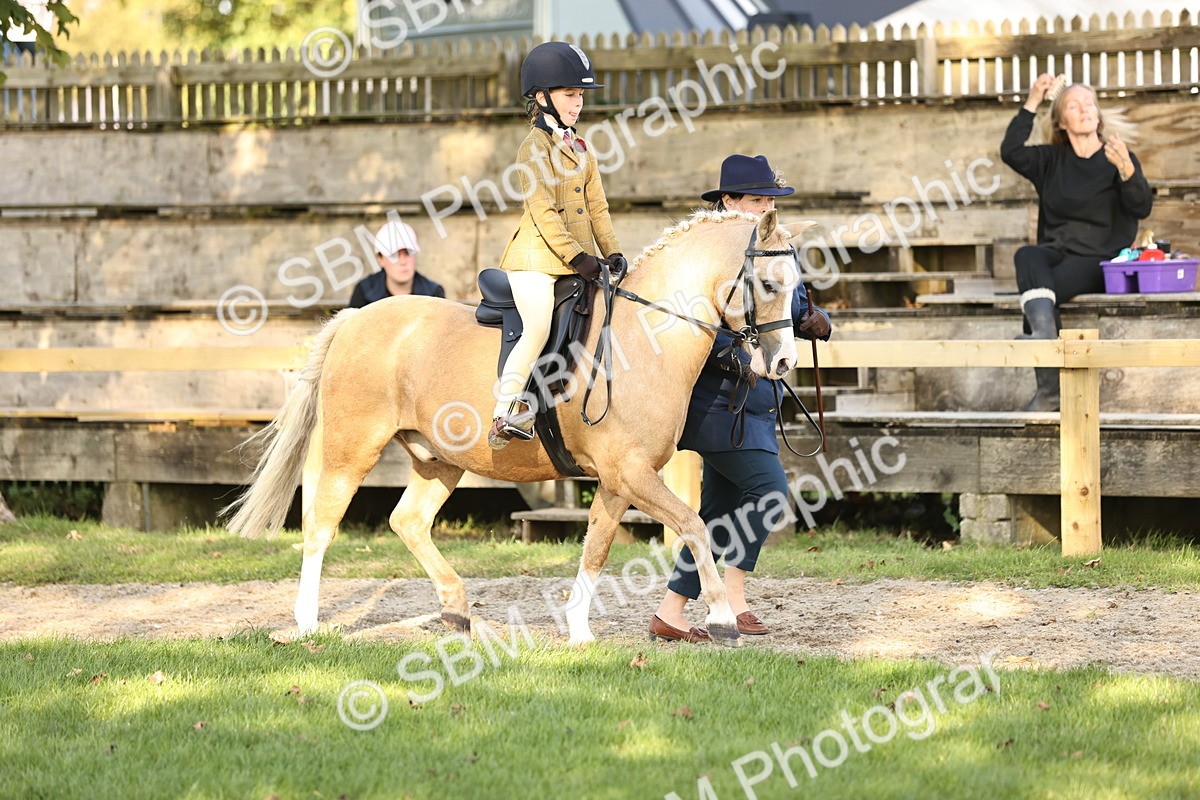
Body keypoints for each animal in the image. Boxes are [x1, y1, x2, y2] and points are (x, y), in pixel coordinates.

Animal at [224, 208, 809, 647]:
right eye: (767, 283)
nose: (783, 364)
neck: (644, 336)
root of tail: (355, 318)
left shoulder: (620, 480)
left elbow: (597, 546)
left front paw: (578, 631)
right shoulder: (630, 473)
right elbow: (693, 525)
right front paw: (722, 620)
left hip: (438, 460)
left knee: (408, 521)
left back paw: (458, 612)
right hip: (353, 448)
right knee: (321, 526)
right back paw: (306, 623)